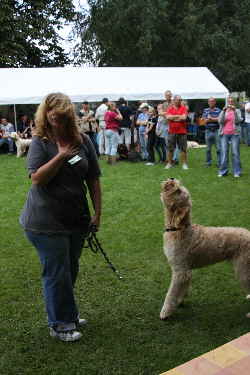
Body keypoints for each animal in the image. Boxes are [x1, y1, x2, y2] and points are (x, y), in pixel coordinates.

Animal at [159, 178, 250, 320]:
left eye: (178, 191)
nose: (172, 178)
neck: (179, 229)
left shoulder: (180, 271)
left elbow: (171, 294)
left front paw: (165, 312)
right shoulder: (186, 271)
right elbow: (181, 290)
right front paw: (179, 302)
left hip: (243, 269)